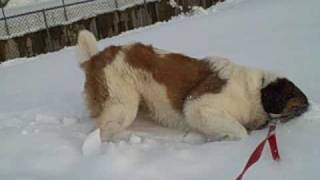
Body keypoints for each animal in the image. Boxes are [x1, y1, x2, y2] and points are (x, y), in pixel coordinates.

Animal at [76, 29, 308, 142]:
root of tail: (95, 58)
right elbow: (239, 130)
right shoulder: (198, 105)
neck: (256, 91)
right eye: (297, 97)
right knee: (103, 129)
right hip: (123, 104)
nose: (309, 106)